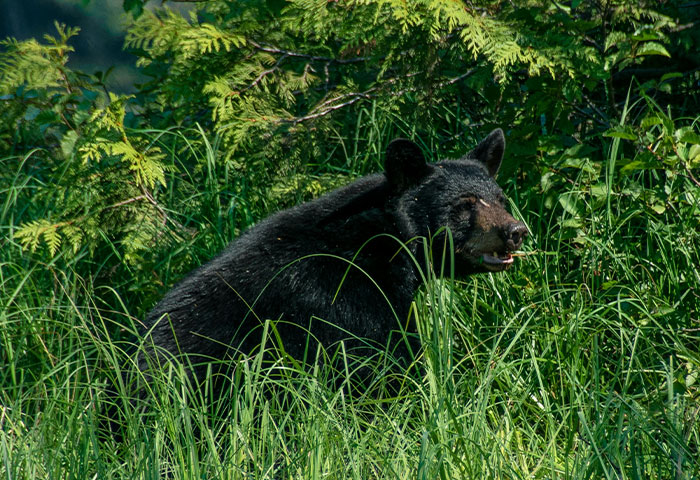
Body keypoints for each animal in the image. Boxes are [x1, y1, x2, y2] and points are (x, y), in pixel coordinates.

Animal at [142, 129, 524, 384]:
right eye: (464, 204)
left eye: (501, 199)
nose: (516, 230)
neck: (382, 244)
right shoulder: (345, 299)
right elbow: (382, 362)